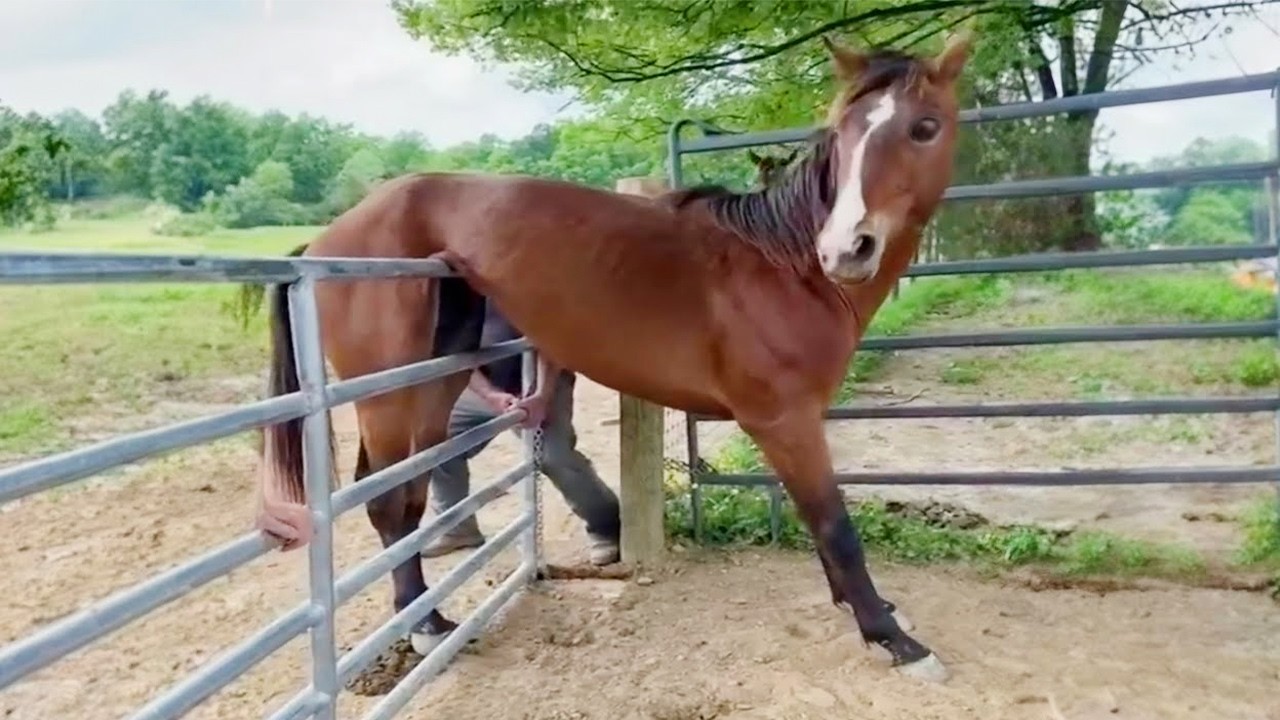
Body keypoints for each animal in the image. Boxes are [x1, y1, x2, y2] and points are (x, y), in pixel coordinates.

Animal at [255, 32, 972, 682]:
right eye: (844, 134)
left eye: (925, 128)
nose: (847, 248)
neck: (784, 268)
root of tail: (327, 239)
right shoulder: (785, 423)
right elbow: (836, 526)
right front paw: (894, 640)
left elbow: (824, 525)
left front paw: (869, 614)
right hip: (386, 394)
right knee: (386, 504)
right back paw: (425, 627)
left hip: (432, 383)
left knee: (405, 500)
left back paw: (430, 620)